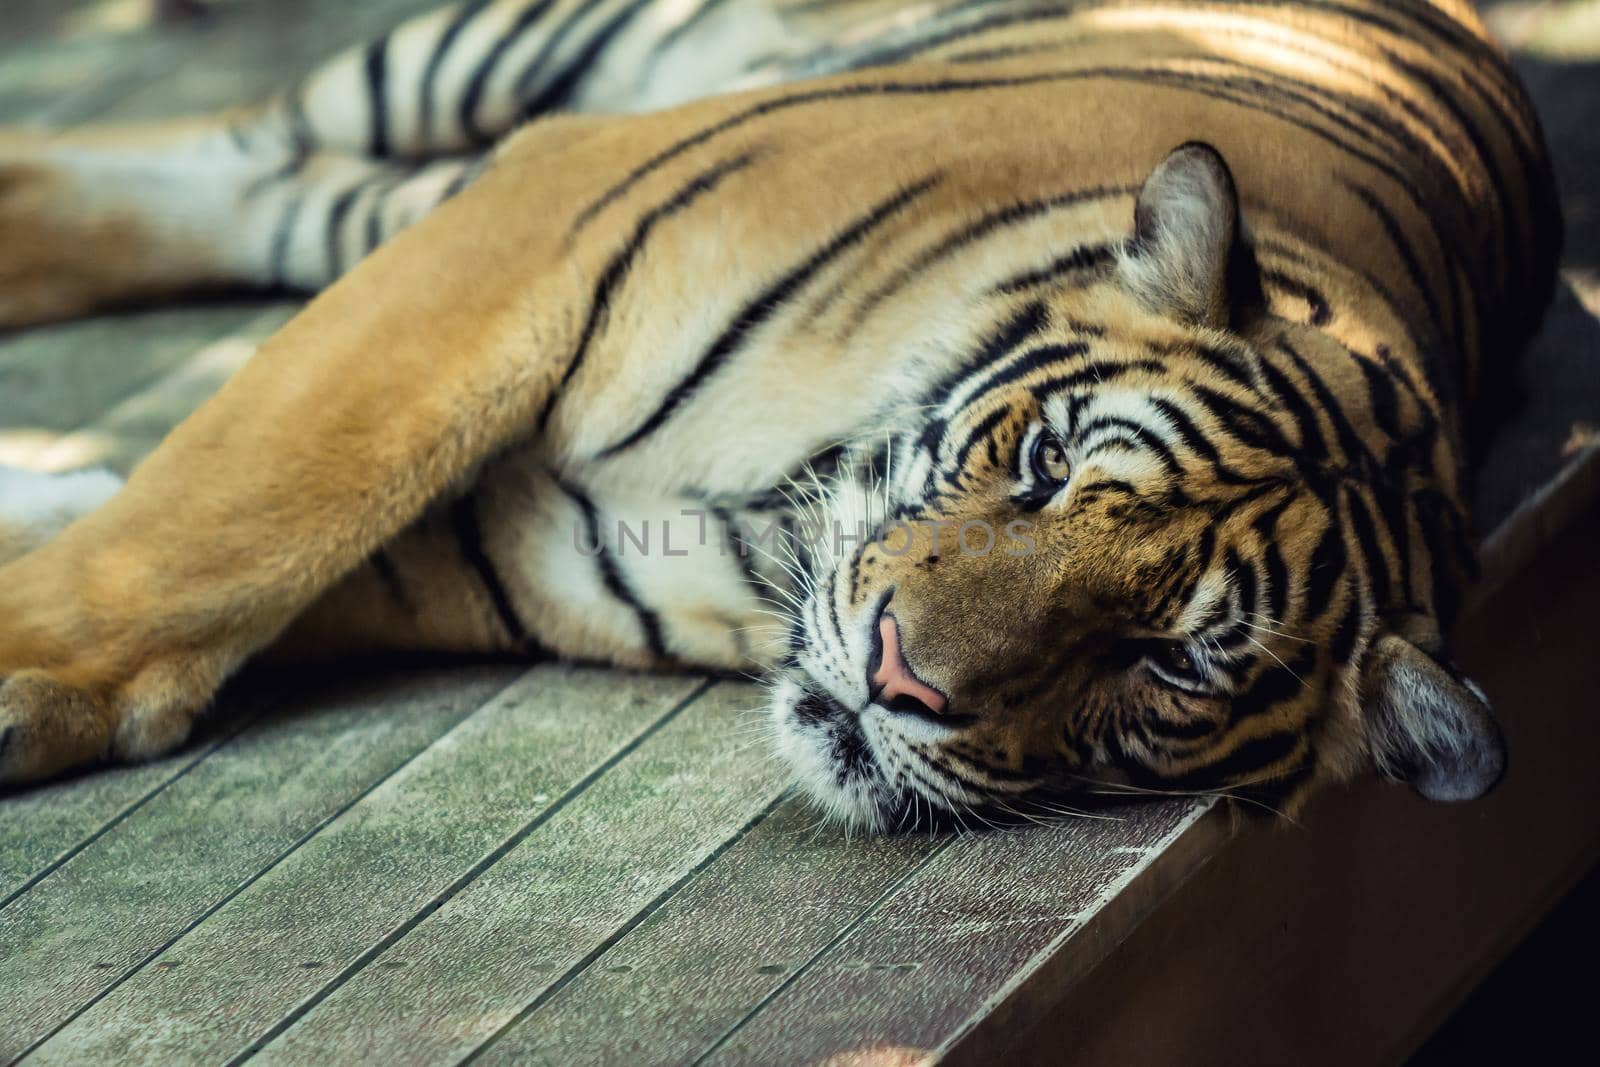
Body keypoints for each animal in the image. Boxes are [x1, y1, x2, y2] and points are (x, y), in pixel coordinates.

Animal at [0, 0, 1561, 831]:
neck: (768, 513)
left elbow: (252, 545)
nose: (897, 676)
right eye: (1046, 464)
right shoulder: (539, 216)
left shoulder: (512, 532)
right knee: (235, 151)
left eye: (1170, 662)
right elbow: (238, 510)